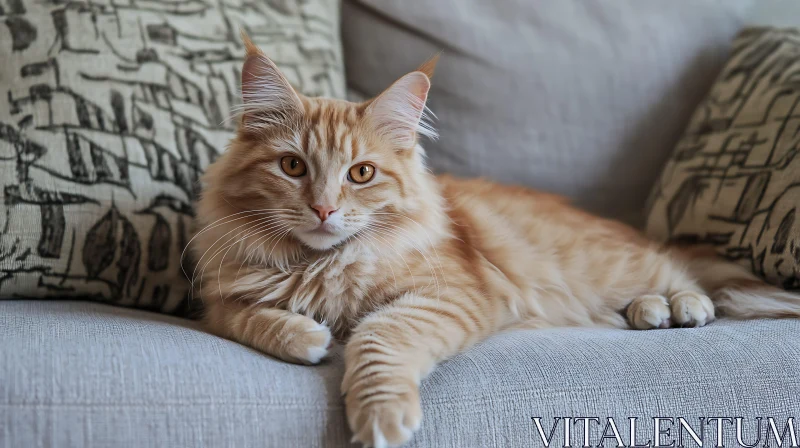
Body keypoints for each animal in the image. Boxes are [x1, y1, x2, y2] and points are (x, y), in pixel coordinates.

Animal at [192, 35, 800, 448]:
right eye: (293, 166)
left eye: (361, 174)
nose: (323, 209)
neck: (319, 266)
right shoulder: (219, 301)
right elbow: (248, 318)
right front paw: (305, 335)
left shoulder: (451, 295)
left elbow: (378, 339)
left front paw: (381, 417)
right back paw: (649, 311)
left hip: (609, 262)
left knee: (681, 273)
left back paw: (682, 305)